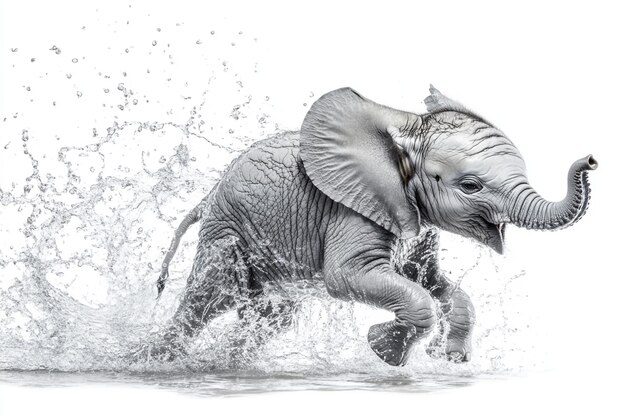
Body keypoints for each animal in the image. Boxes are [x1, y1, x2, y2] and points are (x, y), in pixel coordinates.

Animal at [154, 86, 592, 366]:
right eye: (470, 186)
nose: (591, 159)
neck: (404, 129)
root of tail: (210, 194)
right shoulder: (349, 210)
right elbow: (346, 277)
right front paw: (386, 354)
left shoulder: (416, 222)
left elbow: (432, 281)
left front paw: (449, 358)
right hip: (227, 235)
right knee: (204, 301)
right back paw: (157, 361)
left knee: (273, 316)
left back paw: (228, 363)